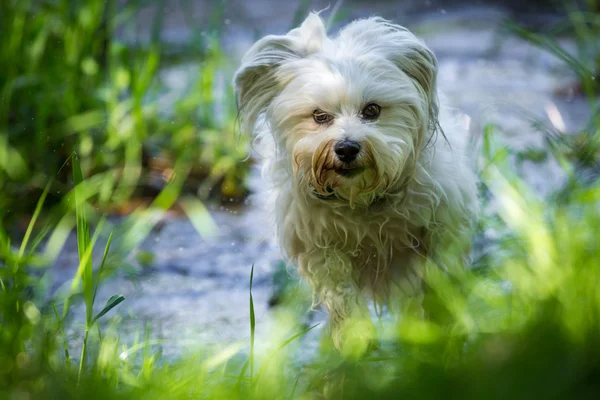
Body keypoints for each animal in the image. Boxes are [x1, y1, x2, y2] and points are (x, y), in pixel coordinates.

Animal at [234, 13, 478, 350]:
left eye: (372, 110)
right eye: (319, 116)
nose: (347, 148)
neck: (361, 199)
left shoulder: (442, 225)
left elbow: (439, 273)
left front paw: (443, 321)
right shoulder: (319, 245)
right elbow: (340, 289)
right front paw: (355, 335)